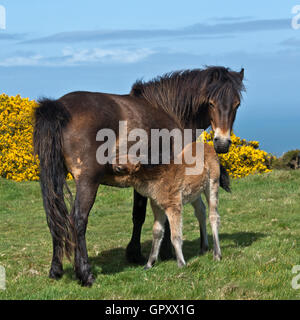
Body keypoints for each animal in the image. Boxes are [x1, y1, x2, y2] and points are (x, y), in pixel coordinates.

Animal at [33, 66, 244, 286]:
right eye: (211, 102)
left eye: (236, 104)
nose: (222, 143)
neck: (168, 110)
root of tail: (58, 107)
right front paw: (164, 252)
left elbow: (139, 215)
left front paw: (136, 254)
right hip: (88, 182)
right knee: (78, 219)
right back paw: (85, 273)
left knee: (55, 217)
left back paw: (56, 270)